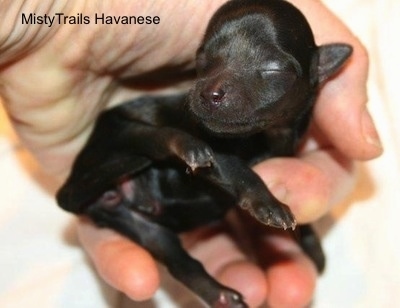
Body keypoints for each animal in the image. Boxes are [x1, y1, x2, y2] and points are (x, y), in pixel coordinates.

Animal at [57, 1, 354, 306]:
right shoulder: (217, 150)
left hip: (142, 227)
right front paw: (269, 203)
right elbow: (240, 171)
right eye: (202, 60)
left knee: (181, 264)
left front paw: (312, 244)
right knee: (154, 138)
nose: (209, 93)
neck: (266, 137)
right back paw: (188, 148)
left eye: (272, 70)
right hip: (119, 130)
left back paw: (222, 296)